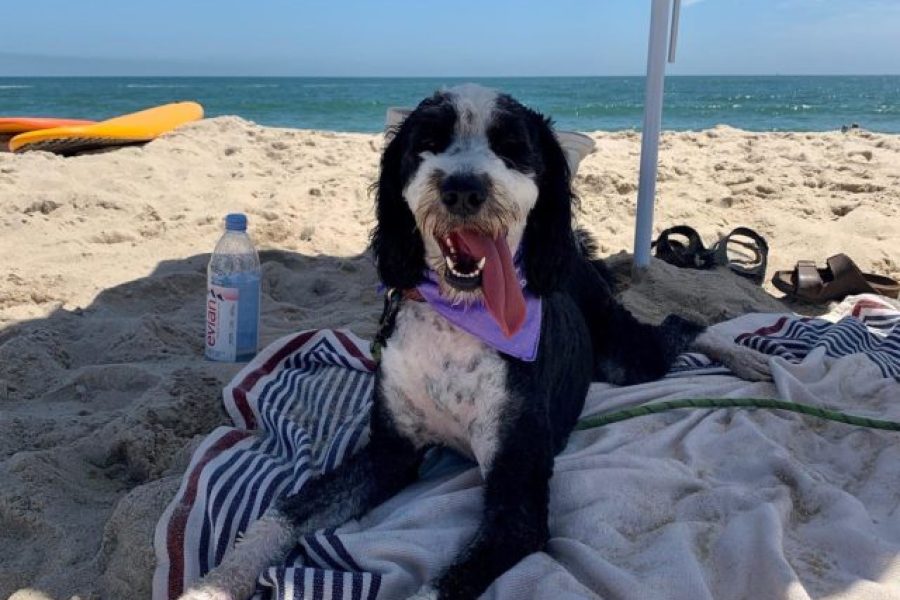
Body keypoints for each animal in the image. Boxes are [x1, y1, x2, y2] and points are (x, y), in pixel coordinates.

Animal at [179, 83, 768, 600]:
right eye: (427, 142)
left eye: (512, 147)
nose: (463, 188)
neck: (461, 319)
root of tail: (574, 253)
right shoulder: (391, 453)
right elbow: (282, 513)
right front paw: (212, 587)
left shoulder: (516, 497)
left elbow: (445, 583)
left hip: (627, 357)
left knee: (679, 322)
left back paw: (746, 358)